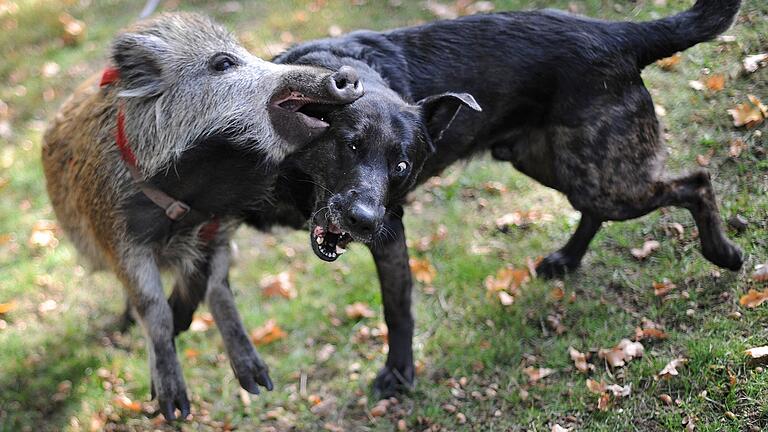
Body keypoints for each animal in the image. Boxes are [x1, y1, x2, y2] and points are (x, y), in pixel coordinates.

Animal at [270, 0, 744, 396]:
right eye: (349, 145)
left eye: (402, 167)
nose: (364, 220)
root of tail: (618, 33)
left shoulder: (391, 231)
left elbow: (397, 308)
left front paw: (399, 375)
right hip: (554, 162)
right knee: (595, 208)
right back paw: (568, 258)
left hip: (603, 176)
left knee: (696, 182)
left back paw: (723, 253)